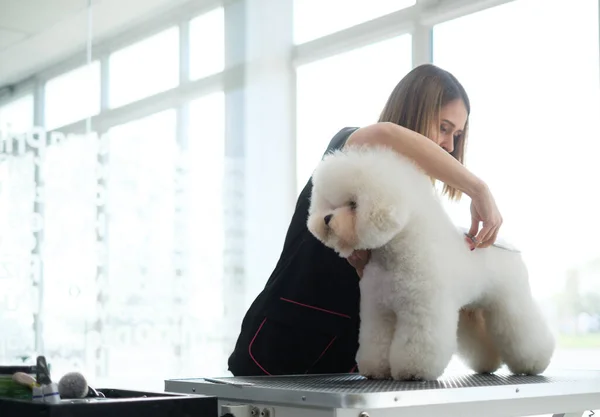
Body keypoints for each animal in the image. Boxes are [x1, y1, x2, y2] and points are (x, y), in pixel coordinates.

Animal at [308, 144, 556, 380]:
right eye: (330, 204)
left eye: (353, 204)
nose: (326, 219)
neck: (396, 256)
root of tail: (507, 246)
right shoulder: (379, 312)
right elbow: (376, 342)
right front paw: (376, 370)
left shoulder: (421, 310)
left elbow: (417, 344)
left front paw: (413, 371)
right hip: (472, 309)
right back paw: (488, 364)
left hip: (510, 303)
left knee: (524, 331)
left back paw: (534, 363)